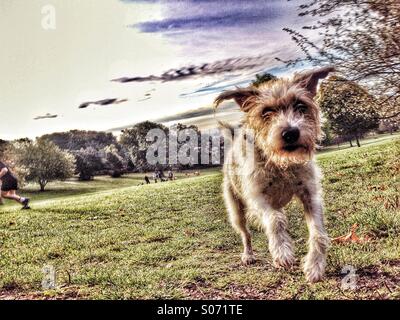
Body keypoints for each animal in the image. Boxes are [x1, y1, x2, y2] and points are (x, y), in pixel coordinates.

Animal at [216, 67, 334, 282]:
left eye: (300, 105)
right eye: (266, 112)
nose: (290, 133)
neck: (281, 164)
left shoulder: (310, 195)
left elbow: (318, 233)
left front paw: (315, 265)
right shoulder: (258, 198)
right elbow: (275, 220)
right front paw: (282, 252)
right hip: (236, 210)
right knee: (245, 233)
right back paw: (248, 254)